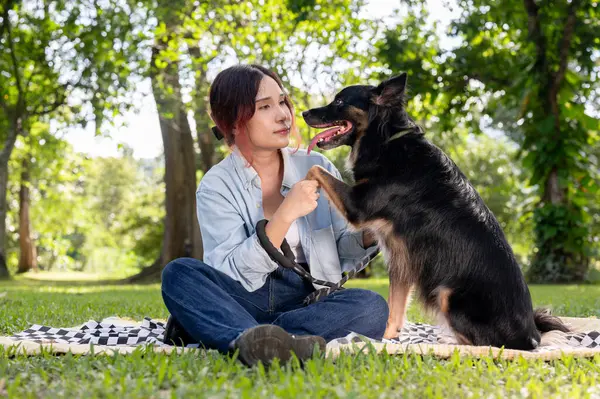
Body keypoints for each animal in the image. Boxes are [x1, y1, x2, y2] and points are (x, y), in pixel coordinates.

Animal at [302, 74, 568, 350]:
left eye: (339, 101)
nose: (304, 113)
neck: (387, 139)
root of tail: (532, 339)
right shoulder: (400, 254)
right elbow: (395, 310)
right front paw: (390, 340)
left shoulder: (359, 207)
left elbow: (316, 169)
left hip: (448, 294)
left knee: (483, 345)